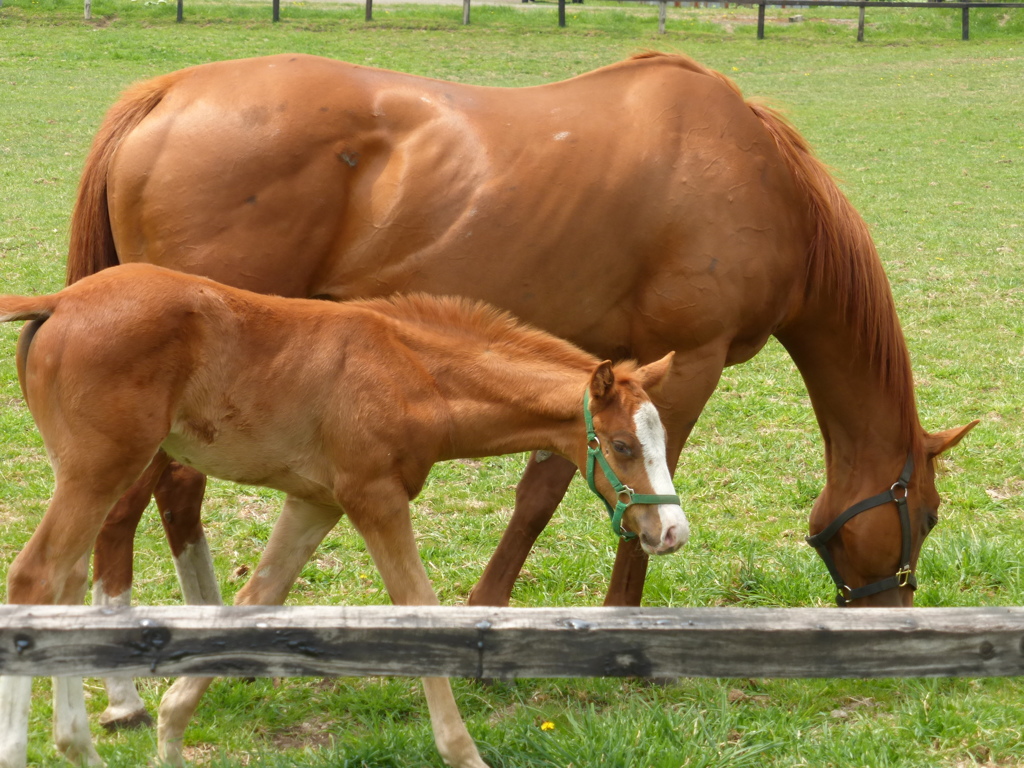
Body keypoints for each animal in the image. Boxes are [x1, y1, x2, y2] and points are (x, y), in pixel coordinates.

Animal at [61, 48, 966, 733]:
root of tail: (169, 91)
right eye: (923, 516)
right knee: (131, 500)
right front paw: (627, 632)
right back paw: (125, 687)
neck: (755, 173)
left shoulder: (601, 368)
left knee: (173, 494)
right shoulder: (690, 361)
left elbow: (546, 490)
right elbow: (634, 499)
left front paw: (489, 613)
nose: (897, 626)